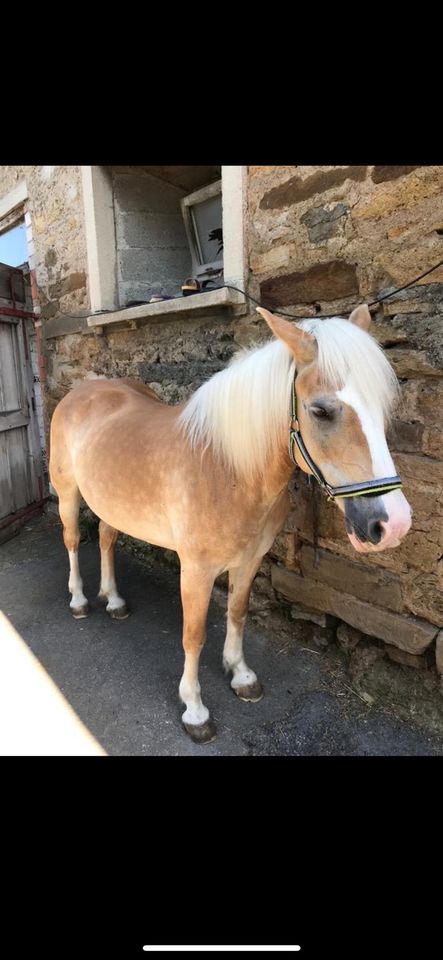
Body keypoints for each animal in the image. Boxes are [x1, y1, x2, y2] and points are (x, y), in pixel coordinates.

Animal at [49, 306, 412, 744]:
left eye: (384, 405)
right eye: (321, 411)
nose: (393, 524)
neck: (228, 469)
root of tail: (82, 393)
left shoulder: (250, 560)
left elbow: (237, 613)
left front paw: (240, 675)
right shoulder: (196, 570)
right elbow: (193, 634)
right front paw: (194, 709)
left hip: (112, 505)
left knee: (105, 539)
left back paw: (114, 600)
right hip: (68, 493)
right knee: (72, 540)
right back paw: (80, 600)